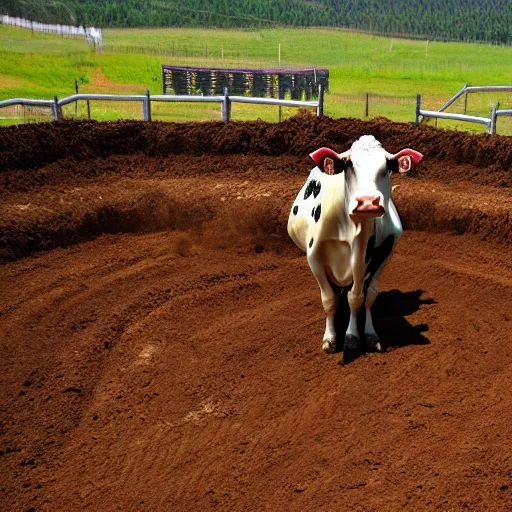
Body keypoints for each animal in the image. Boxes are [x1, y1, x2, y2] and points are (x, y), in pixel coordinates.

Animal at [288, 134, 424, 362]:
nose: (367, 201)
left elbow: (358, 297)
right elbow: (329, 299)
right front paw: (330, 338)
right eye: (349, 165)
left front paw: (353, 337)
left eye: (386, 167)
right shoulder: (314, 258)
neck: (351, 230)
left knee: (367, 294)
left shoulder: (368, 258)